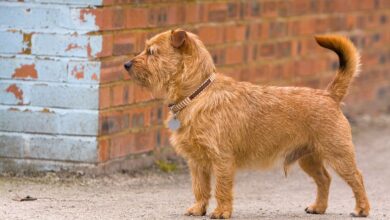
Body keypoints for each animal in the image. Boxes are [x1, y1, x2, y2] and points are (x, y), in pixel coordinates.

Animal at [123, 29, 370, 218]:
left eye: (151, 52)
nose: (126, 64)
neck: (197, 94)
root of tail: (329, 95)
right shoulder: (197, 163)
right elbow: (200, 188)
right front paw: (198, 209)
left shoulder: (221, 159)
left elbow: (221, 188)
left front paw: (221, 212)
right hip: (308, 158)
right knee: (324, 179)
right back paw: (318, 207)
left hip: (338, 154)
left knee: (356, 178)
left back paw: (361, 209)